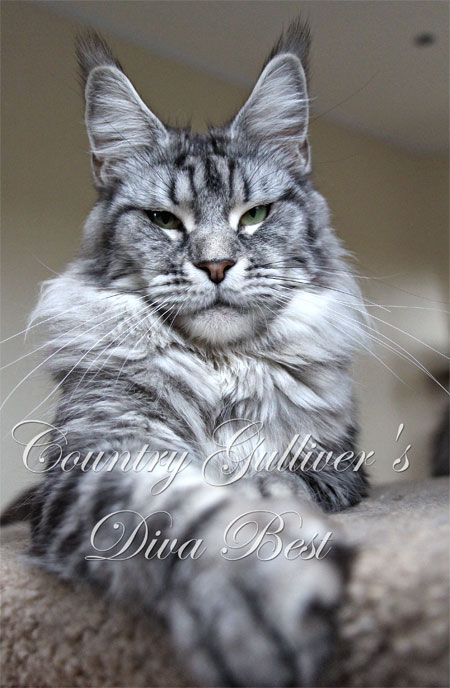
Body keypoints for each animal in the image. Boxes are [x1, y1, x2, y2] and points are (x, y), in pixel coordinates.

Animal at [8, 20, 370, 687]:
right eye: (162, 219)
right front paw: (251, 588)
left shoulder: (341, 462)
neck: (219, 368)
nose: (217, 264)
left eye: (255, 215)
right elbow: (177, 509)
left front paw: (265, 493)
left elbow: (287, 477)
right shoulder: (98, 457)